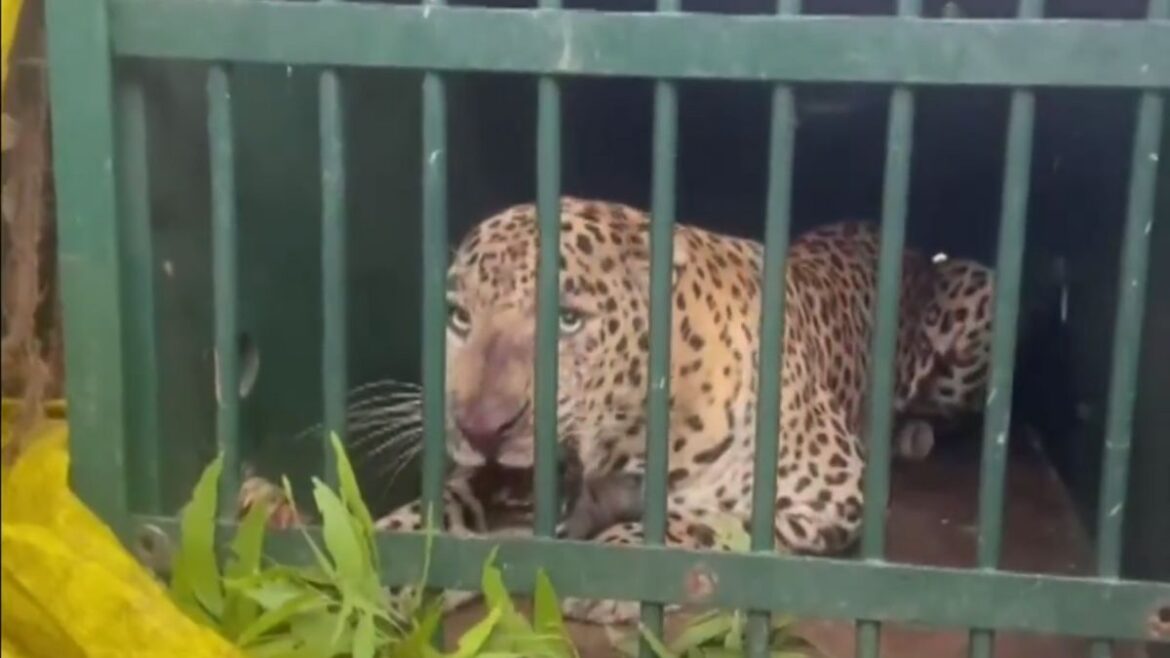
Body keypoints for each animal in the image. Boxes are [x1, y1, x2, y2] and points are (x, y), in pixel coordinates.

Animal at [238, 196, 995, 625]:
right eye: (458, 317)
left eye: (568, 321)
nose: (482, 429)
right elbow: (427, 522)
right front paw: (364, 563)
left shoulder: (828, 484)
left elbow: (703, 522)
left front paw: (619, 572)